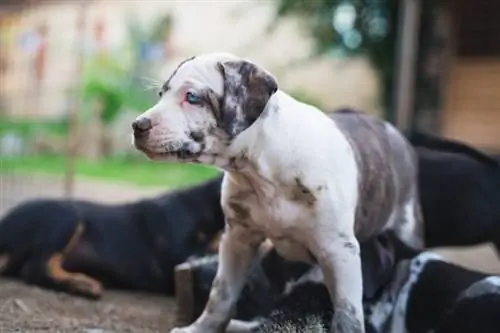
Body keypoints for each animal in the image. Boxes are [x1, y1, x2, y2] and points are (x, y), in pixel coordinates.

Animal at [132, 52, 422, 332]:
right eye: (161, 94)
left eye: (192, 97)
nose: (137, 126)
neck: (260, 172)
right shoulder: (238, 239)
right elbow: (221, 294)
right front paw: (201, 328)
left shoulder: (340, 252)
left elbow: (348, 314)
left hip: (405, 231)